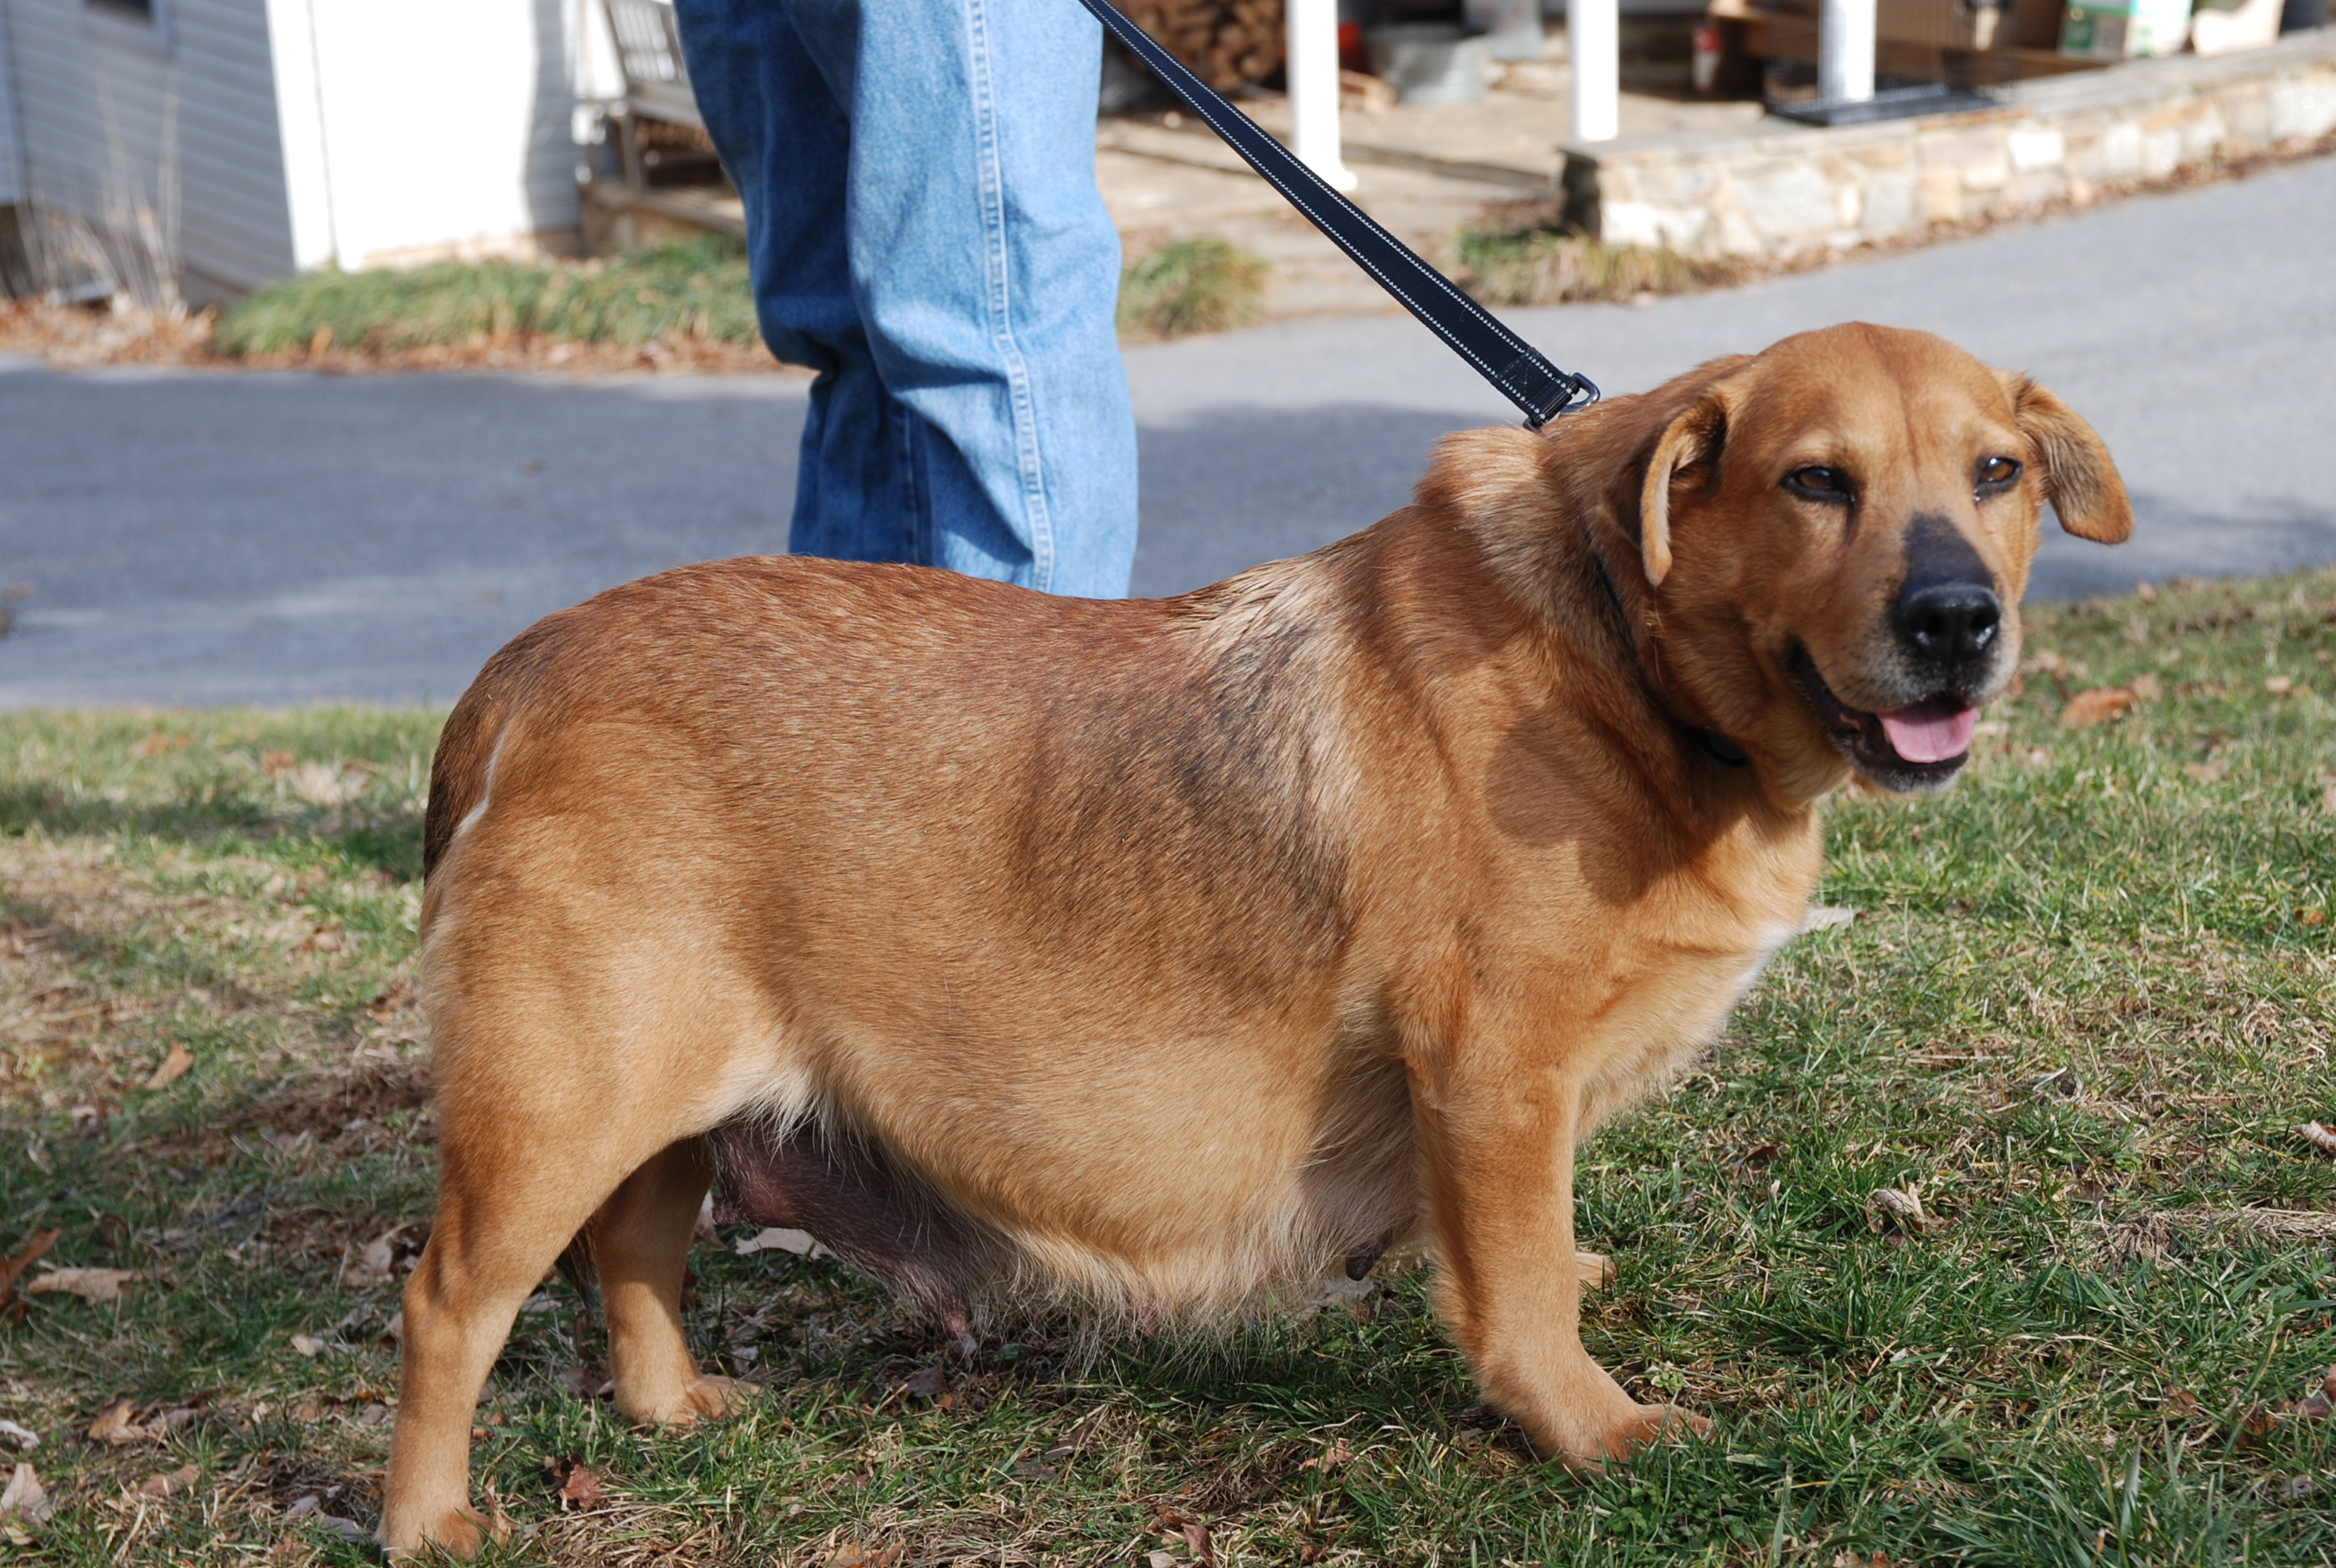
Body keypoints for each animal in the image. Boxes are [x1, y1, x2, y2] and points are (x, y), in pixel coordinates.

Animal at [381, 323, 2129, 1555]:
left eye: (1994, 473)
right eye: (1813, 480)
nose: (1956, 621)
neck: (1622, 661)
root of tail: (524, 669)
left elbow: (1524, 1248)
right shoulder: (1492, 1067)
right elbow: (1518, 1299)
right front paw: (1590, 1425)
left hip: (663, 1105)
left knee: (635, 1256)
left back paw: (673, 1407)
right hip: (554, 1114)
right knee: (449, 1304)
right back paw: (427, 1519)